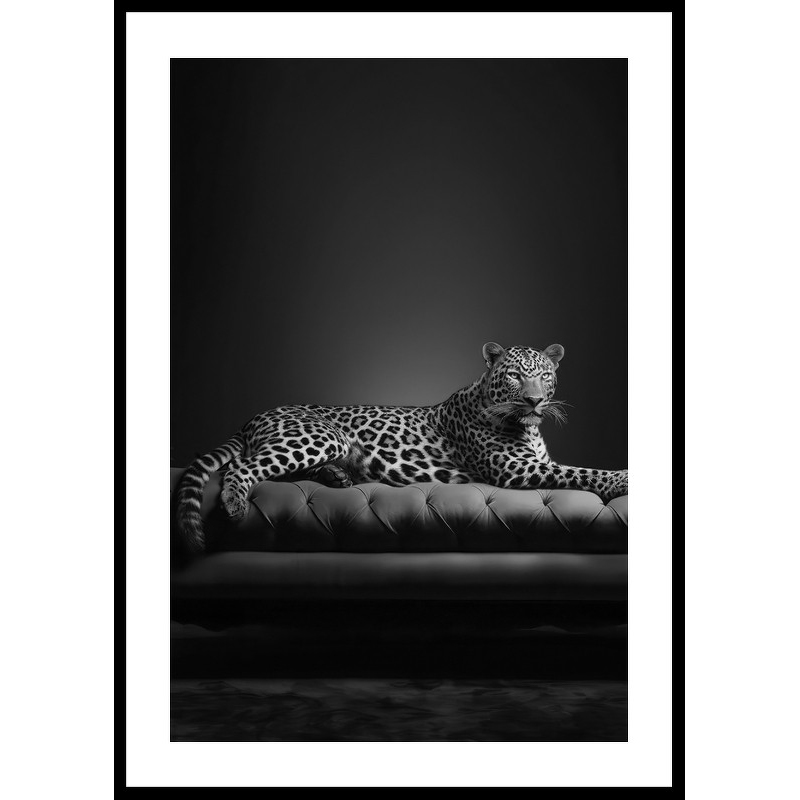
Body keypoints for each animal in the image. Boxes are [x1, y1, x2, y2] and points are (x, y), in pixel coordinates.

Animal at [175, 341, 628, 552]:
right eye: (516, 376)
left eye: (545, 376)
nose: (535, 401)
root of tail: (254, 416)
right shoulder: (514, 468)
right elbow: (581, 471)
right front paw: (623, 478)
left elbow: (575, 467)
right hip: (320, 435)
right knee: (244, 468)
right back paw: (235, 503)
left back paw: (336, 476)